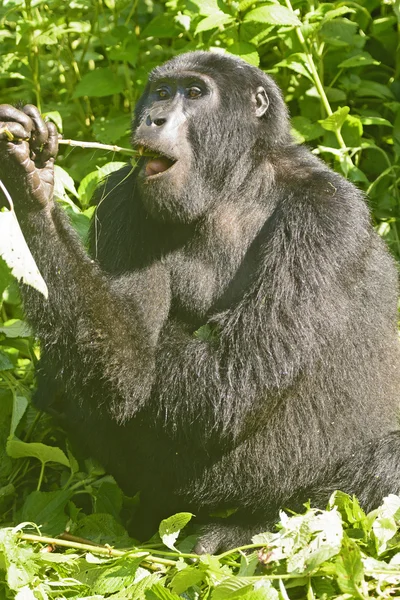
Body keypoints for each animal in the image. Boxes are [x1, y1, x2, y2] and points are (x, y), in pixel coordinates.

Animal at [0, 51, 400, 552]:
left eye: (193, 93)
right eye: (160, 92)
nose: (154, 118)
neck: (235, 182)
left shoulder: (327, 212)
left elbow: (233, 380)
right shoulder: (121, 198)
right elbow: (127, 366)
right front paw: (31, 181)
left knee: (381, 468)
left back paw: (248, 530)